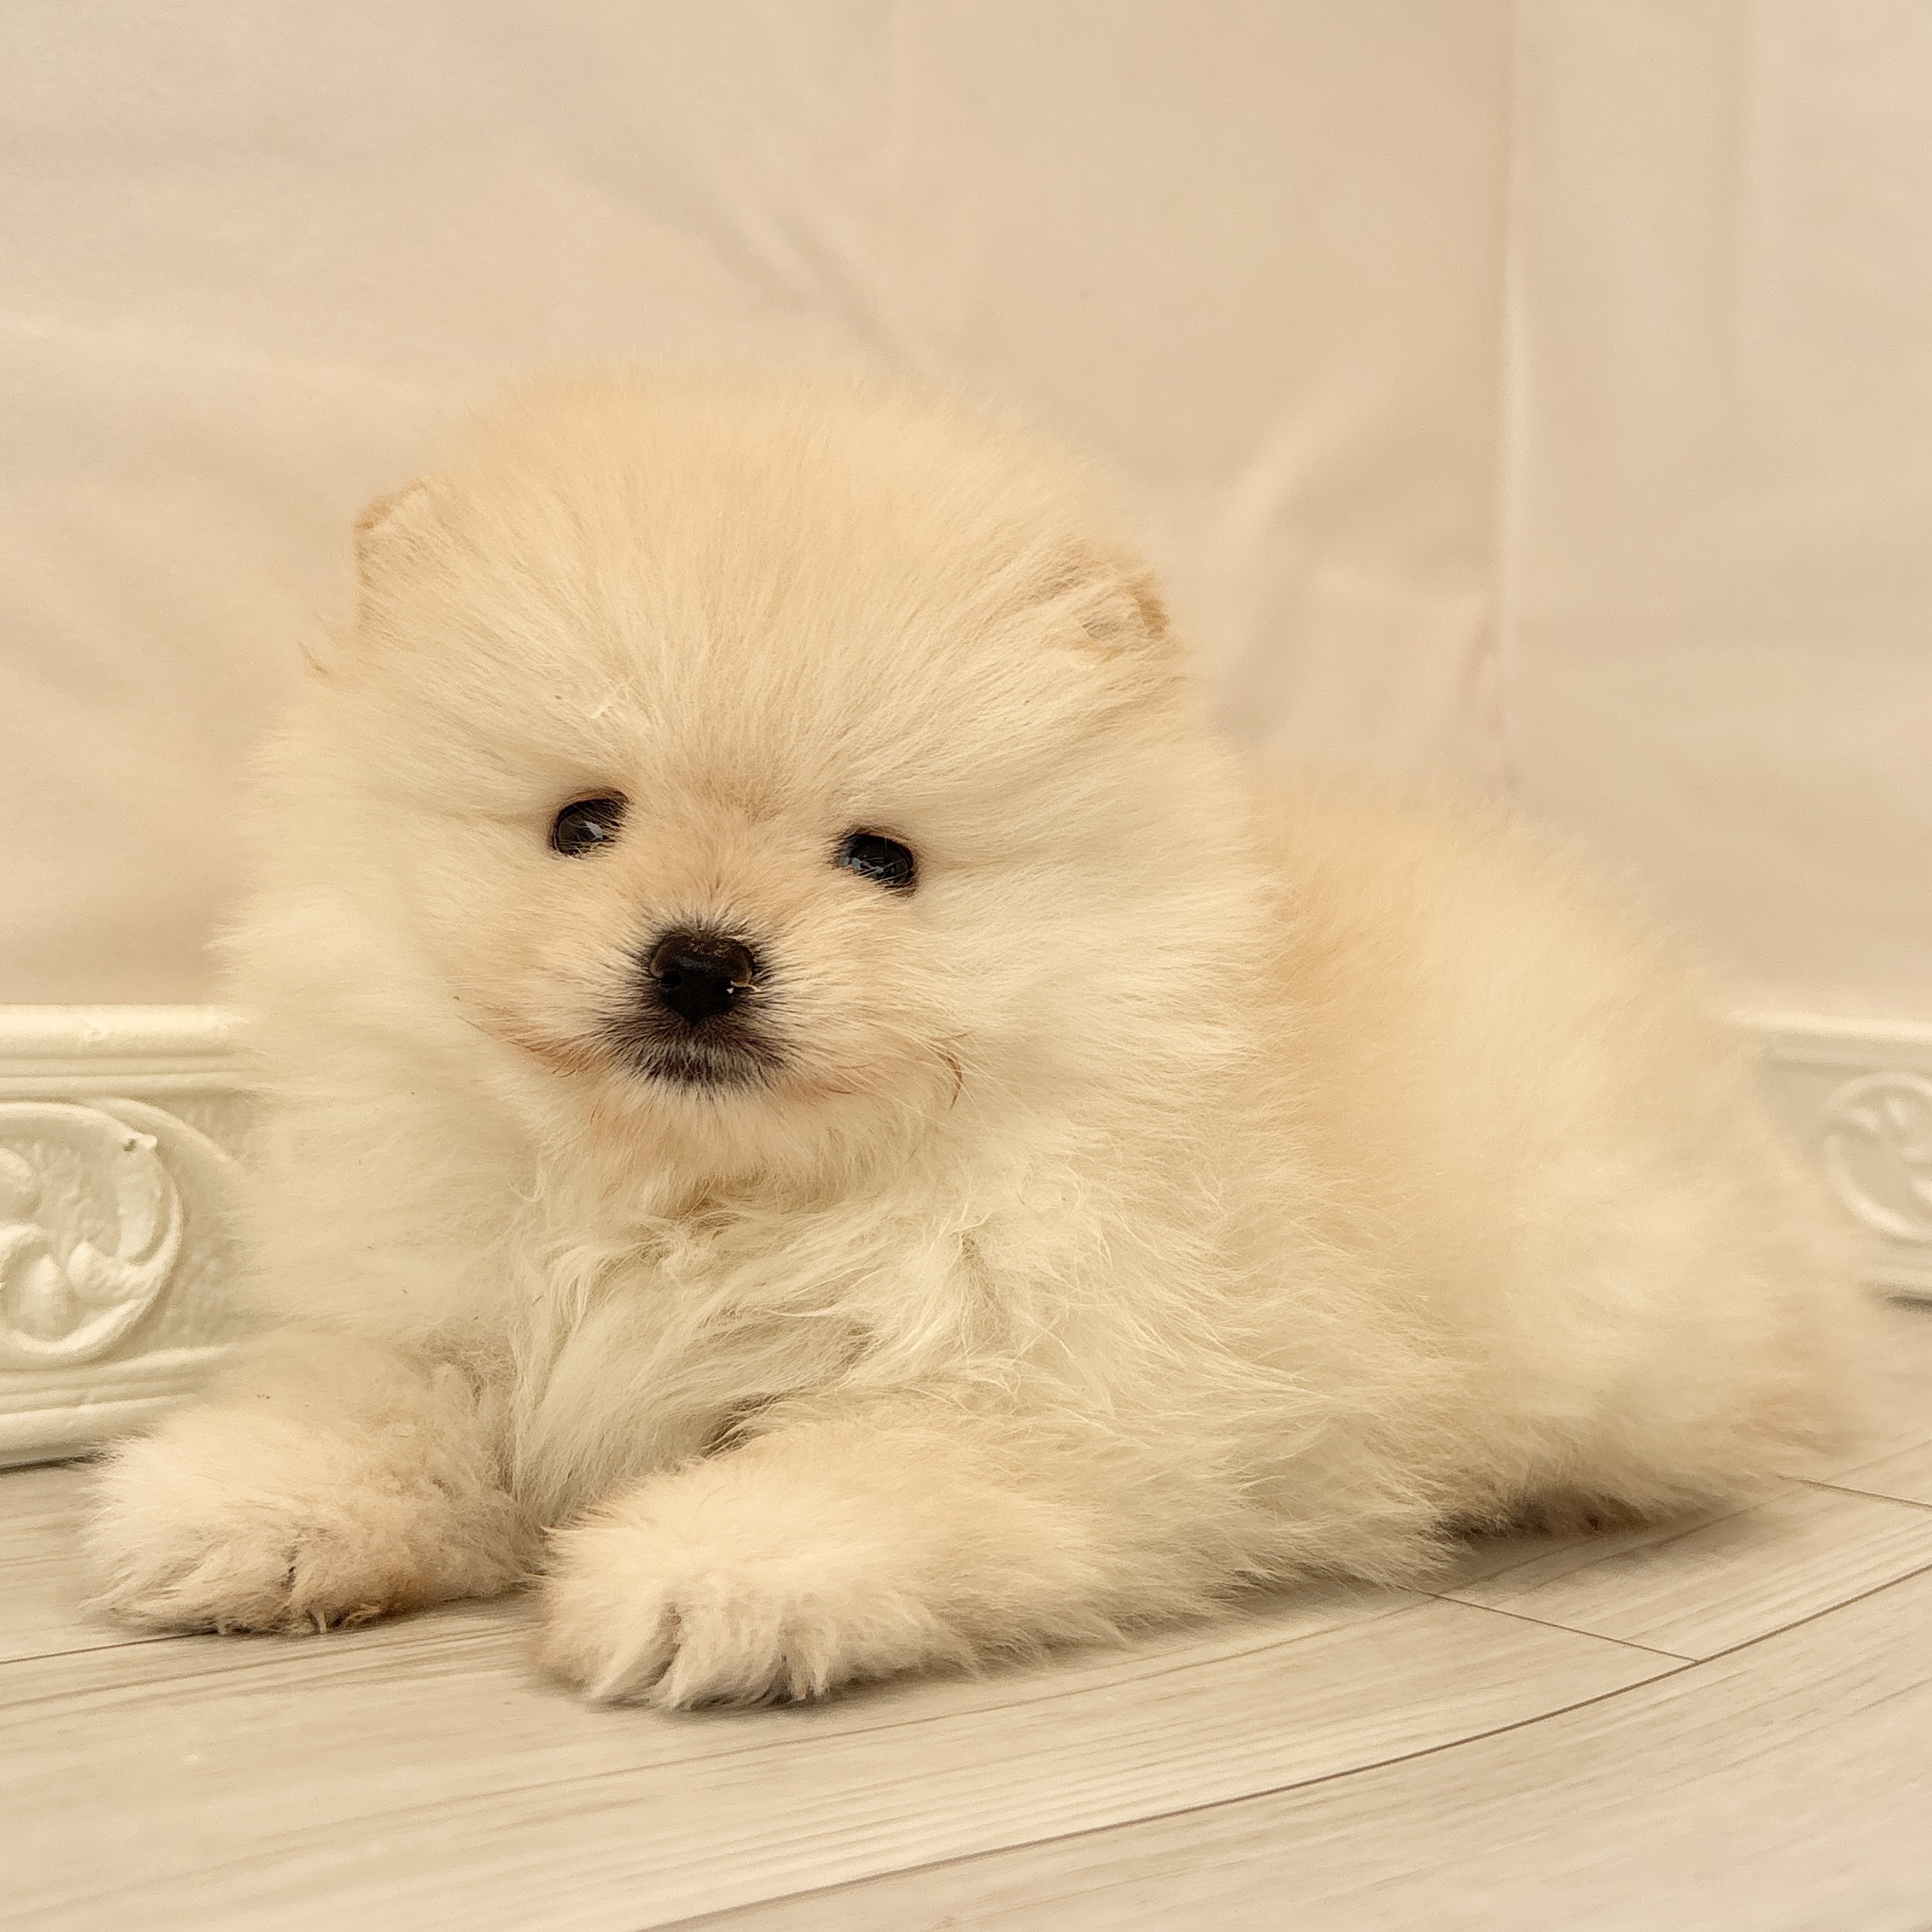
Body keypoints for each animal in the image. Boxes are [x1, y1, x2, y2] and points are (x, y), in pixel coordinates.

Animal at [87, 371, 1863, 1706]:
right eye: (582, 824)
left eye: (881, 859)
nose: (701, 956)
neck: (692, 1199)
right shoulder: (447, 1303)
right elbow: (377, 1398)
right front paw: (245, 1510)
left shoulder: (1064, 1398)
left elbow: (862, 1473)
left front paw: (697, 1577)